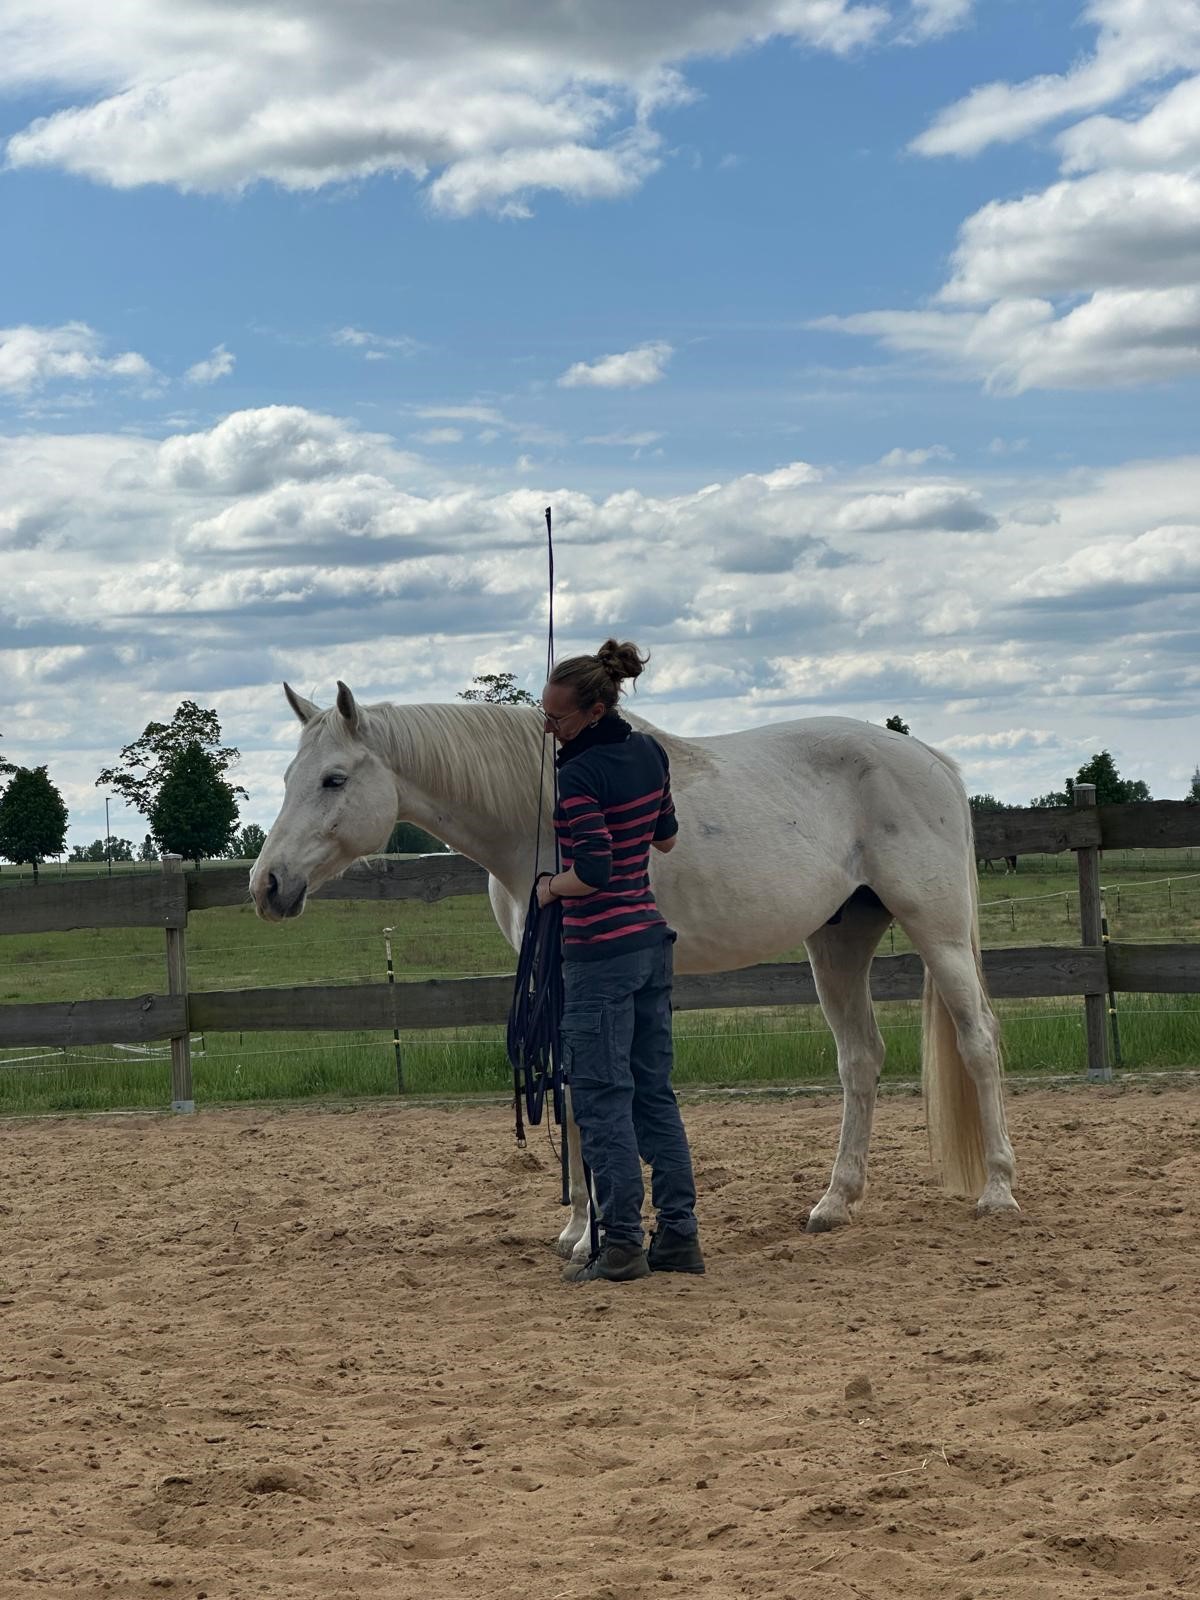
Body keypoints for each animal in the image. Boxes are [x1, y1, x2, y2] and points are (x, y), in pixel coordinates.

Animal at [251, 682, 1018, 1261]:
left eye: (334, 779)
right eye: (288, 778)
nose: (267, 885)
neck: (538, 819)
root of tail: (930, 759)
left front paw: (596, 1231)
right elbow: (570, 1093)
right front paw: (575, 1228)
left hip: (939, 934)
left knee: (978, 1042)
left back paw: (999, 1191)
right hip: (837, 944)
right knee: (861, 1059)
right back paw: (834, 1203)